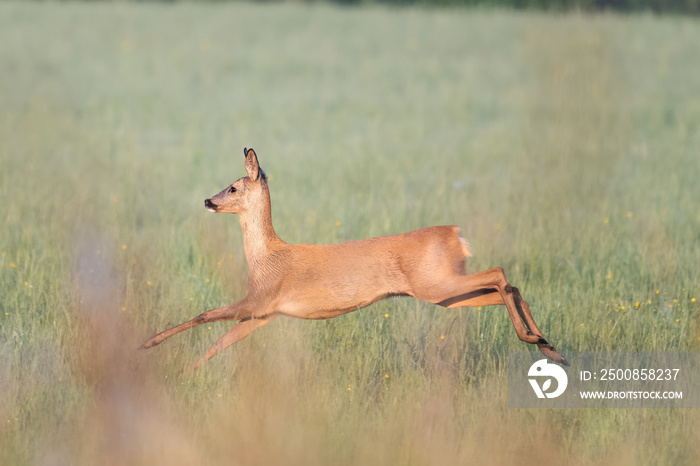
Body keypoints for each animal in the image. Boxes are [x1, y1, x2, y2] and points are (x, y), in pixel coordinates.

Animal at [138, 148, 568, 372]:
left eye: (232, 186)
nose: (208, 201)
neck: (265, 257)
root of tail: (455, 234)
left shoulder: (259, 299)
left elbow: (204, 315)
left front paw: (148, 345)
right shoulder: (265, 314)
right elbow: (218, 344)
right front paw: (186, 374)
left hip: (435, 283)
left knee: (499, 273)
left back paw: (537, 340)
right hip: (443, 292)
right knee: (505, 286)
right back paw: (549, 347)